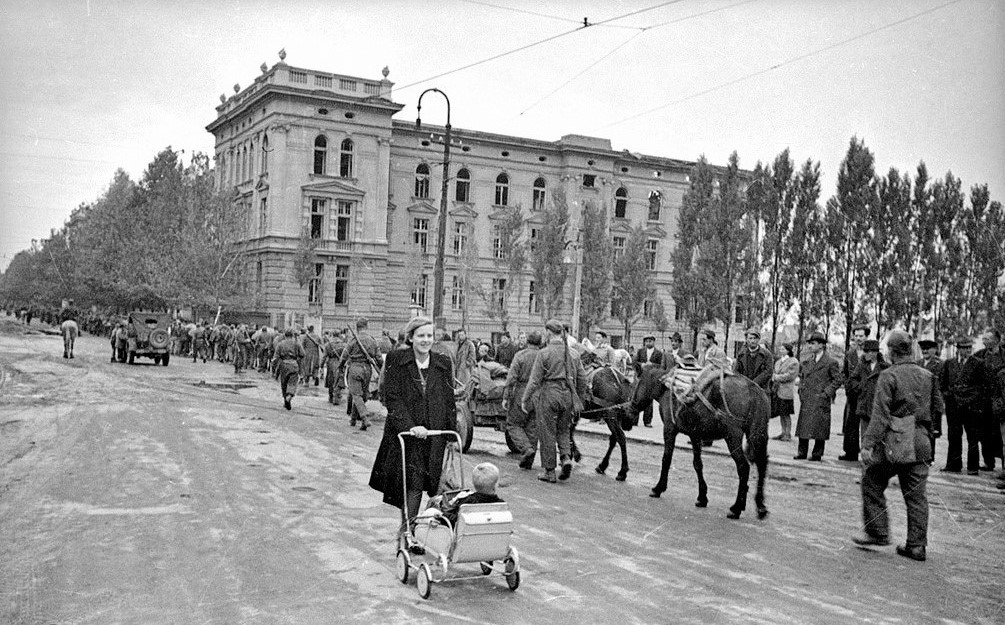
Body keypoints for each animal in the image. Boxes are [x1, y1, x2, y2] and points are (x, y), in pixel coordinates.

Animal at [631, 365, 771, 522]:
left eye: (634, 384)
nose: (630, 407)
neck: (666, 386)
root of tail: (752, 387)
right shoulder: (695, 435)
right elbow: (698, 464)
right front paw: (702, 497)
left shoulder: (669, 429)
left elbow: (666, 459)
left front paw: (658, 488)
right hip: (759, 435)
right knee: (762, 465)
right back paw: (760, 506)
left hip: (732, 436)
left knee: (743, 467)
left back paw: (736, 508)